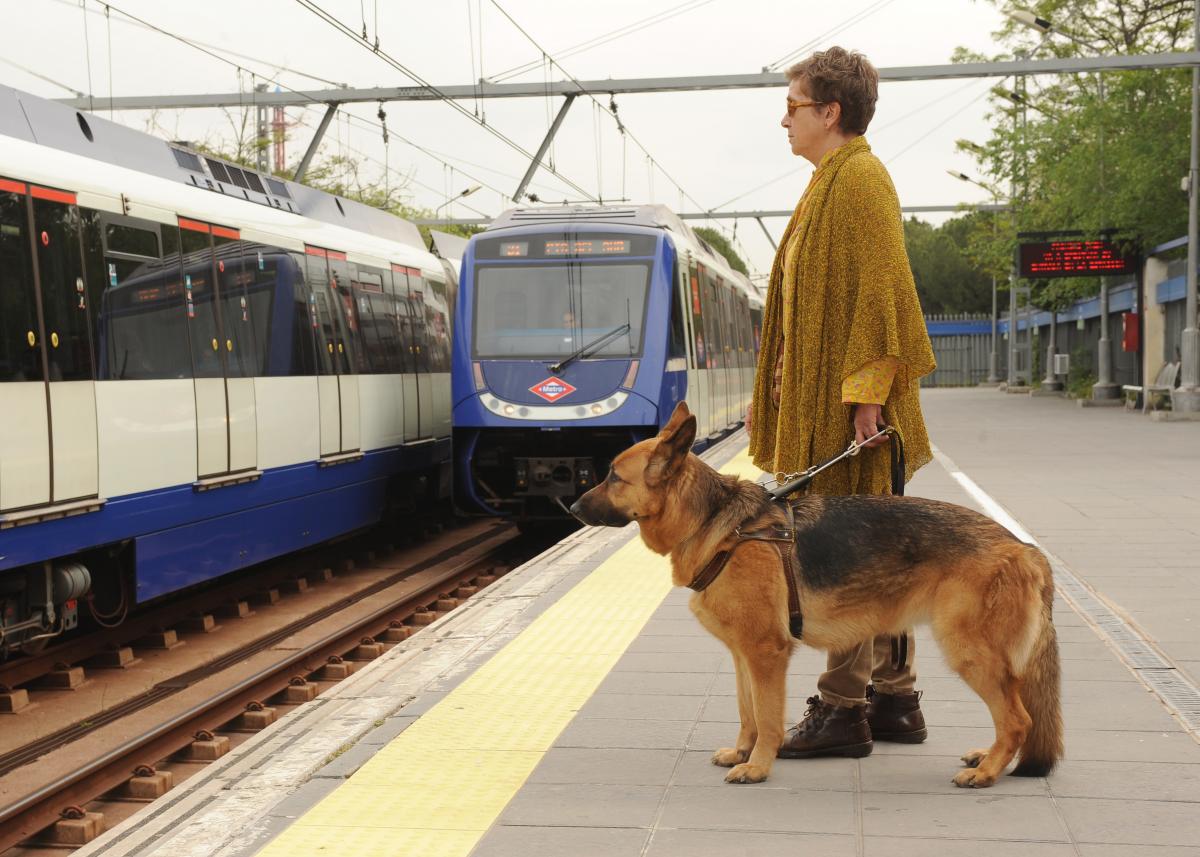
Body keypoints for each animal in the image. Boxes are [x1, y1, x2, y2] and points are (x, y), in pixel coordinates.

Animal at [576, 403, 1065, 787]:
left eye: (613, 476)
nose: (572, 507)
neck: (720, 526)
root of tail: (1025, 548)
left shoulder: (766, 654)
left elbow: (767, 717)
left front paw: (759, 766)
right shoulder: (743, 657)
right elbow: (747, 712)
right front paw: (742, 752)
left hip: (969, 652)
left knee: (1018, 719)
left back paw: (987, 773)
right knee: (1015, 714)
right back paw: (988, 756)